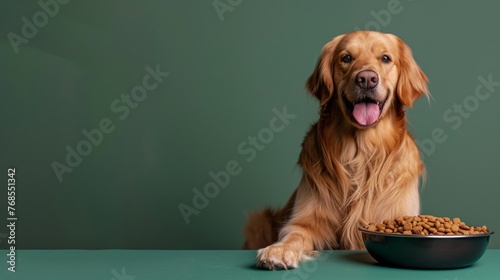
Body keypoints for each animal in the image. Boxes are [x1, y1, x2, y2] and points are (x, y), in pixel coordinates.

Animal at [242, 30, 430, 270]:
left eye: (385, 58)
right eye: (346, 58)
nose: (366, 79)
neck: (362, 152)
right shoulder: (305, 220)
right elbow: (295, 234)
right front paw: (279, 250)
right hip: (258, 222)